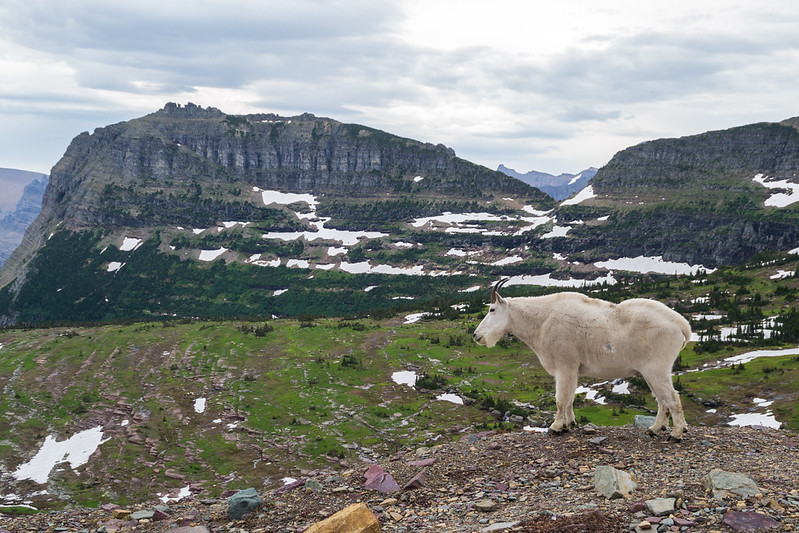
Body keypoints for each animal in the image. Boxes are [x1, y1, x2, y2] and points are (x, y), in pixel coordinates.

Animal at [473, 278, 692, 440]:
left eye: (492, 309)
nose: (476, 336)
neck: (542, 320)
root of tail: (681, 324)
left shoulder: (565, 365)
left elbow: (561, 399)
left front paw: (555, 427)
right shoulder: (573, 369)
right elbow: (569, 398)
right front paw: (569, 424)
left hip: (657, 368)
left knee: (672, 397)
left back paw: (677, 433)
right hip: (650, 371)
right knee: (662, 399)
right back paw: (654, 429)